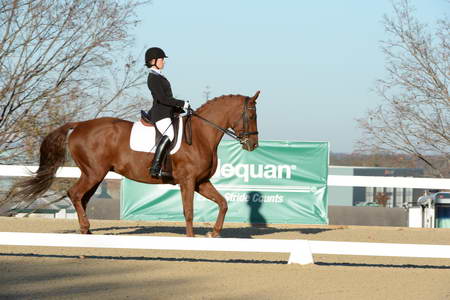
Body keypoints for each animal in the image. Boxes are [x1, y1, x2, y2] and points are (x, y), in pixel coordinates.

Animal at [13, 91, 260, 237]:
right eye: (252, 115)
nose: (253, 145)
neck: (200, 135)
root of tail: (80, 125)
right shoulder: (188, 181)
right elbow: (188, 211)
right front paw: (190, 239)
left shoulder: (201, 182)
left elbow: (223, 203)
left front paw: (214, 233)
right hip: (94, 173)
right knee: (75, 194)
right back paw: (85, 229)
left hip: (94, 174)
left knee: (81, 198)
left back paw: (87, 231)